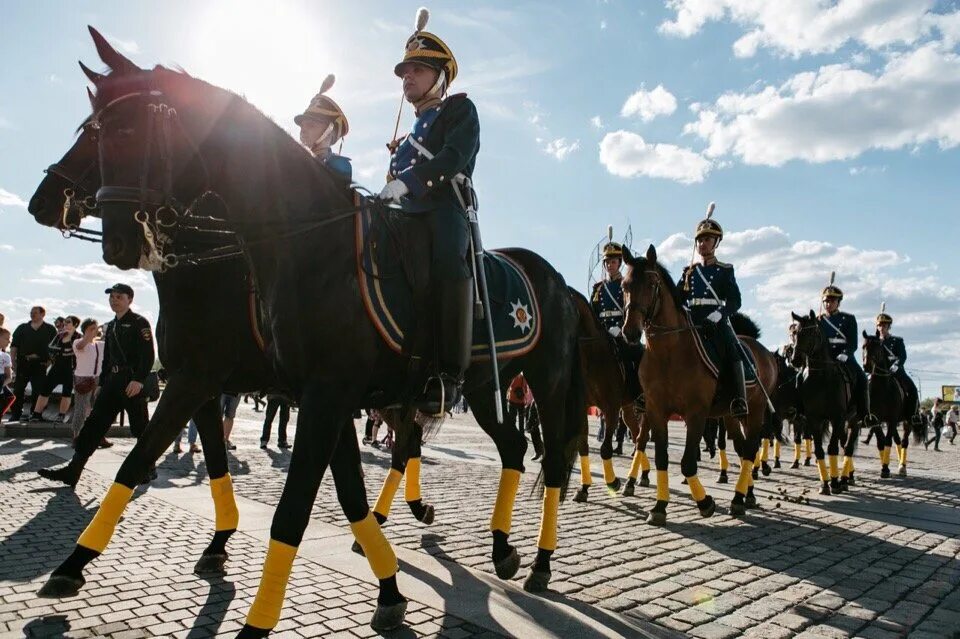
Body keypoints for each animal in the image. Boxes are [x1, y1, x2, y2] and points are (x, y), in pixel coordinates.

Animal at [82, 28, 584, 636]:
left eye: (125, 130)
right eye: (95, 131)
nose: (118, 241)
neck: (305, 243)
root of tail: (558, 280)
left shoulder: (295, 391)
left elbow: (292, 510)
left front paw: (256, 621)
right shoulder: (312, 393)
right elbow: (343, 494)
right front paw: (387, 588)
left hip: (545, 384)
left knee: (550, 461)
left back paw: (539, 561)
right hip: (484, 385)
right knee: (508, 447)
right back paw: (501, 549)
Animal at [620, 248, 776, 524]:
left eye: (651, 284)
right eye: (624, 285)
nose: (630, 331)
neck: (669, 353)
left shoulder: (696, 412)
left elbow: (687, 463)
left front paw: (705, 502)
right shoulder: (656, 410)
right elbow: (661, 457)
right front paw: (659, 507)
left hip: (755, 409)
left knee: (749, 450)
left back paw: (738, 499)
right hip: (730, 415)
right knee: (741, 447)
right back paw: (746, 496)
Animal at [792, 312, 860, 498]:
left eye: (811, 333)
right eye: (795, 333)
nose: (795, 360)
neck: (821, 377)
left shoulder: (838, 417)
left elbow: (832, 449)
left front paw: (835, 482)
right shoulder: (814, 419)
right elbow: (819, 449)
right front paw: (824, 484)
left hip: (854, 421)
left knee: (848, 448)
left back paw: (845, 479)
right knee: (844, 445)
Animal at [864, 332, 924, 478]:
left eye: (877, 348)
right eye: (863, 346)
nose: (866, 366)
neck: (881, 389)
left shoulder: (891, 419)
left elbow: (887, 441)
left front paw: (885, 468)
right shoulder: (876, 420)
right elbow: (881, 443)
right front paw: (884, 466)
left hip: (907, 420)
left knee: (904, 441)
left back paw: (902, 467)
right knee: (897, 440)